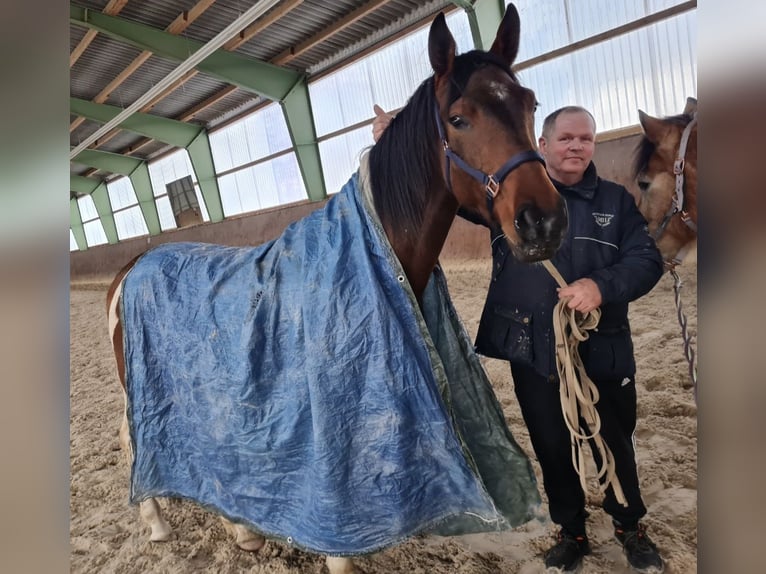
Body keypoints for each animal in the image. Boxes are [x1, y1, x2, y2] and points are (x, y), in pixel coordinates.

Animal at [105, 5, 568, 574]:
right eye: (459, 118)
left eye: (530, 103)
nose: (543, 221)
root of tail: (134, 265)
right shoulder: (334, 454)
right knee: (132, 441)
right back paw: (156, 524)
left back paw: (242, 531)